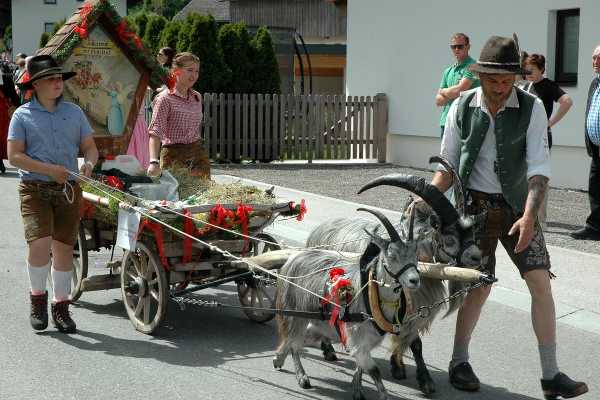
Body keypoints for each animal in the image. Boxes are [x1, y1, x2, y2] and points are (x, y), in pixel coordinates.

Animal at [274, 208, 420, 398]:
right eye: (392, 256)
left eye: (415, 255)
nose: (414, 280)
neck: (370, 293)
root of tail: (292, 258)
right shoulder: (358, 335)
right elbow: (374, 370)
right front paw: (382, 395)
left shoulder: (366, 340)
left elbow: (361, 366)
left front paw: (357, 389)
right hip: (294, 312)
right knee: (294, 341)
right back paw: (302, 377)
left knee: (300, 338)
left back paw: (278, 358)